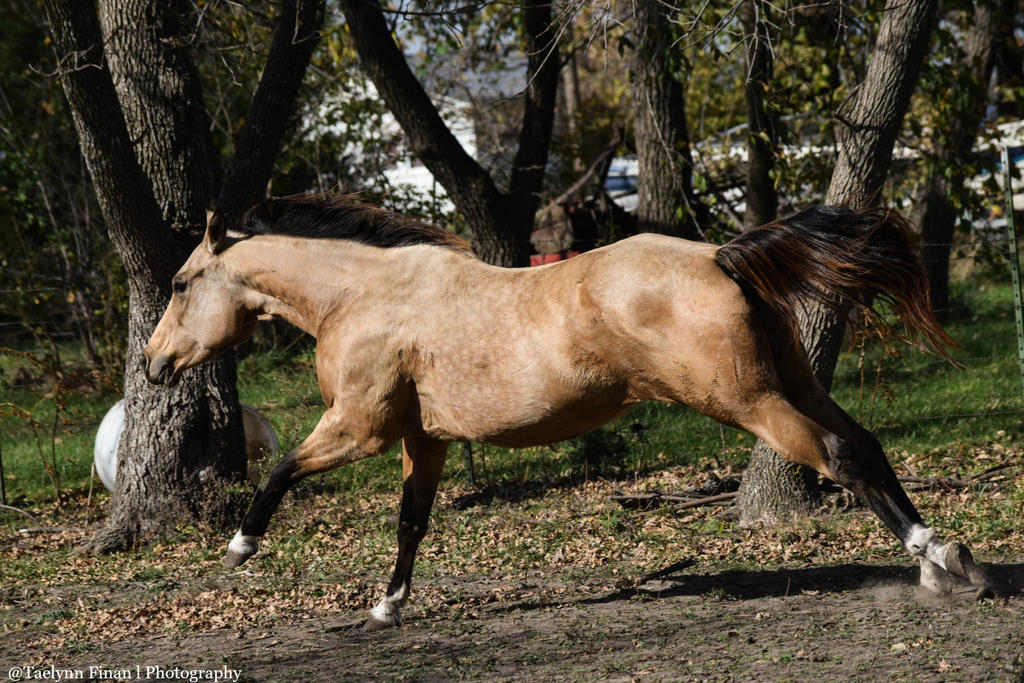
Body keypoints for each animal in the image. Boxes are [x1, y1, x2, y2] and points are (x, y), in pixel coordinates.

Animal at [143, 194, 991, 630]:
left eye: (181, 283)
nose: (153, 365)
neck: (364, 294)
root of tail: (719, 256)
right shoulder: (424, 439)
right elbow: (411, 521)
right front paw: (387, 605)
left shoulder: (361, 427)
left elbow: (282, 468)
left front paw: (241, 544)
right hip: (794, 385)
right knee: (867, 445)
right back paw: (940, 560)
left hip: (748, 402)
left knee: (842, 458)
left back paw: (940, 559)